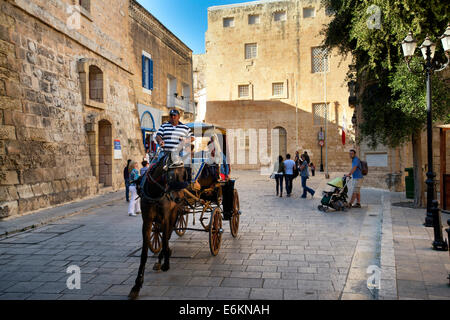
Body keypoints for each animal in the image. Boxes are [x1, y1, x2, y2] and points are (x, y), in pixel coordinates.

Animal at [129, 155, 187, 300]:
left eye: (184, 174)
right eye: (171, 176)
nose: (179, 198)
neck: (155, 192)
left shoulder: (166, 217)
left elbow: (165, 241)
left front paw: (166, 262)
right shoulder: (147, 221)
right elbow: (144, 253)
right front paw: (137, 285)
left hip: (173, 213)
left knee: (168, 234)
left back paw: (163, 258)